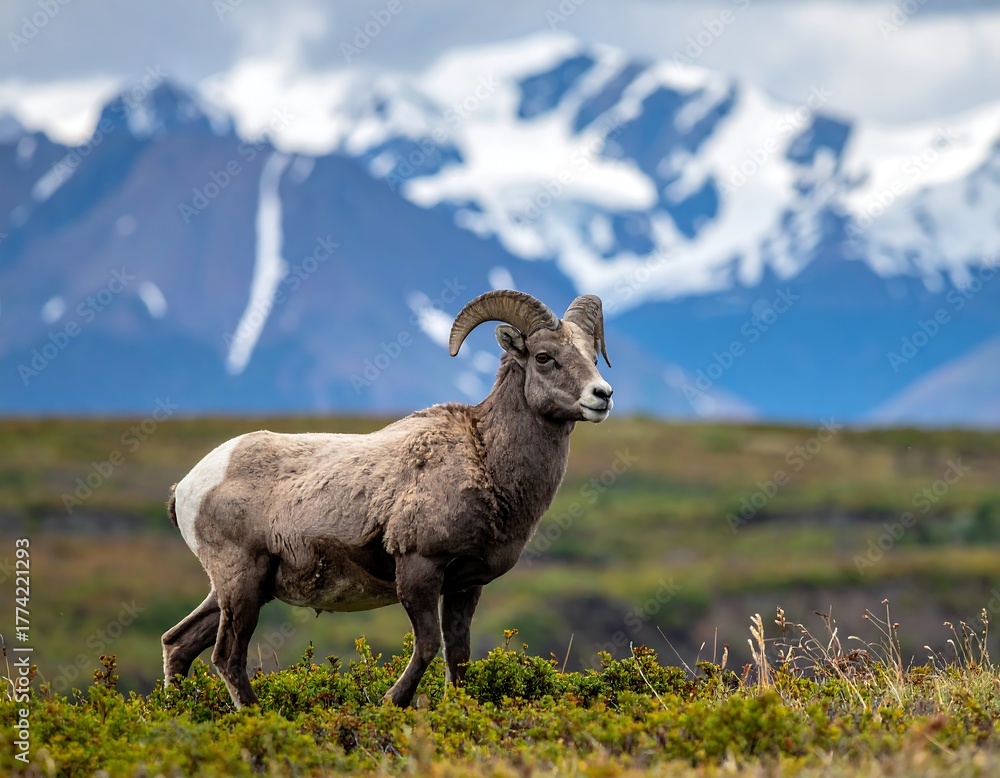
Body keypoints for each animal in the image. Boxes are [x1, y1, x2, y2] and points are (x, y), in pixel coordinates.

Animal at [162, 289, 614, 708]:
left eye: (592, 355)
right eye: (543, 357)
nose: (602, 394)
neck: (484, 457)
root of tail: (186, 487)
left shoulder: (465, 586)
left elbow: (459, 656)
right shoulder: (418, 569)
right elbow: (428, 645)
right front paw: (390, 703)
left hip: (239, 589)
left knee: (178, 643)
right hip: (240, 584)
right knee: (226, 656)